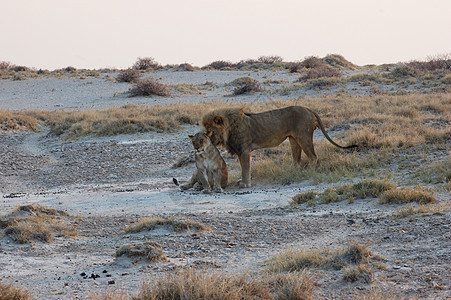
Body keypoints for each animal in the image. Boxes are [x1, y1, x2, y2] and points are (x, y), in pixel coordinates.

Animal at [203, 105, 358, 185]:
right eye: (205, 130)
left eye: (210, 130)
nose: (208, 141)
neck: (228, 129)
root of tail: (309, 109)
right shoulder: (241, 151)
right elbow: (243, 167)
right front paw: (243, 181)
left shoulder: (245, 150)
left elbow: (246, 168)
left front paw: (245, 184)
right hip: (293, 139)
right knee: (297, 158)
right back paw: (293, 171)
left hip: (303, 137)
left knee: (313, 156)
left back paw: (307, 172)